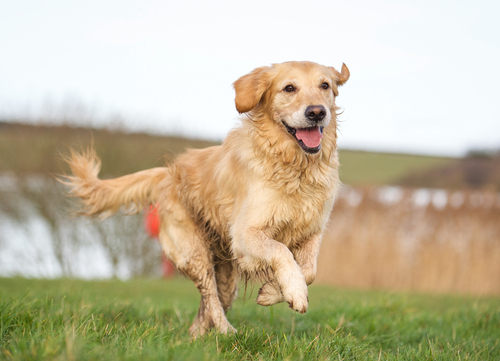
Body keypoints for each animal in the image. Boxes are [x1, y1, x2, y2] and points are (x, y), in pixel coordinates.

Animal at [62, 60, 350, 336]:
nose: (317, 112)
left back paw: (197, 336)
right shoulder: (245, 233)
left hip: (226, 272)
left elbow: (309, 270)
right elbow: (280, 251)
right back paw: (226, 332)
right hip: (194, 251)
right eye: (289, 88)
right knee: (210, 296)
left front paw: (271, 292)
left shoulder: (312, 229)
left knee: (208, 306)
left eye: (325, 85)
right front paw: (294, 291)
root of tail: (166, 173)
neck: (296, 167)